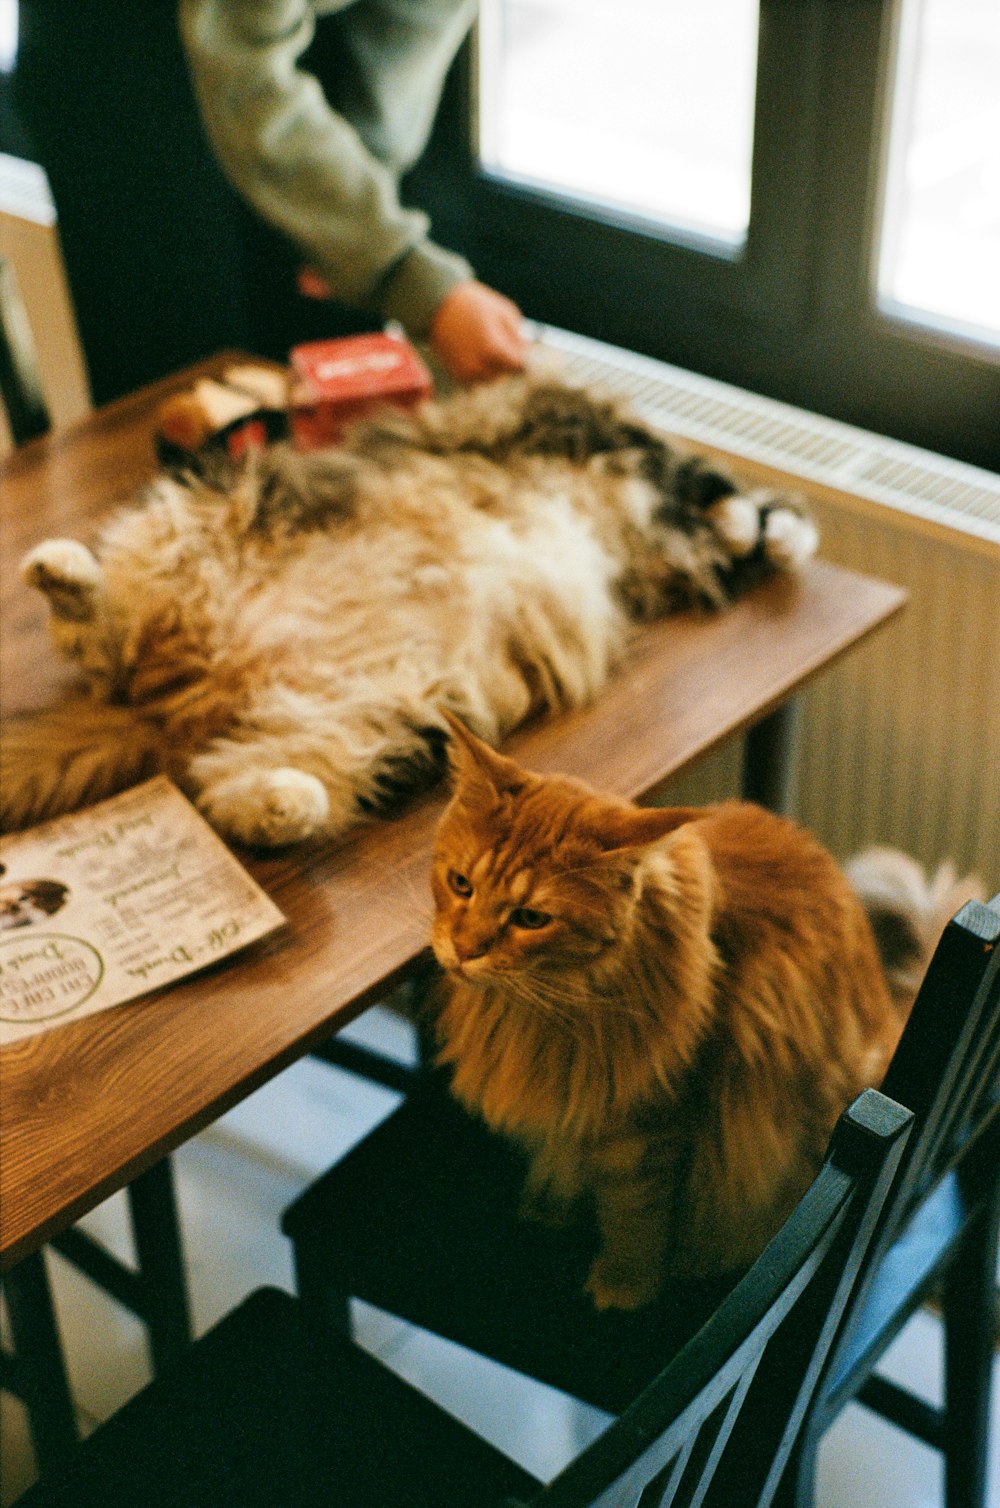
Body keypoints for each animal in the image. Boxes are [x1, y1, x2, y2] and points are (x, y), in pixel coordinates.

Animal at [5, 373, 814, 850]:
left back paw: (284, 803)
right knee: (102, 634)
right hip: (210, 513)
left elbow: (736, 514)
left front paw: (769, 534)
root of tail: (178, 697)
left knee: (228, 791)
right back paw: (58, 571)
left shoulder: (660, 554)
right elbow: (711, 481)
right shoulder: (595, 433)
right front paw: (754, 524)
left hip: (379, 719)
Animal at [431, 711, 977, 1314]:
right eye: (460, 884)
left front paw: (622, 1286)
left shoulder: (651, 1129)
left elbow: (635, 1220)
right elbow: (561, 1167)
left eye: (531, 918)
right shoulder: (569, 1113)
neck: (543, 1011)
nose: (464, 950)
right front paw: (548, 1208)